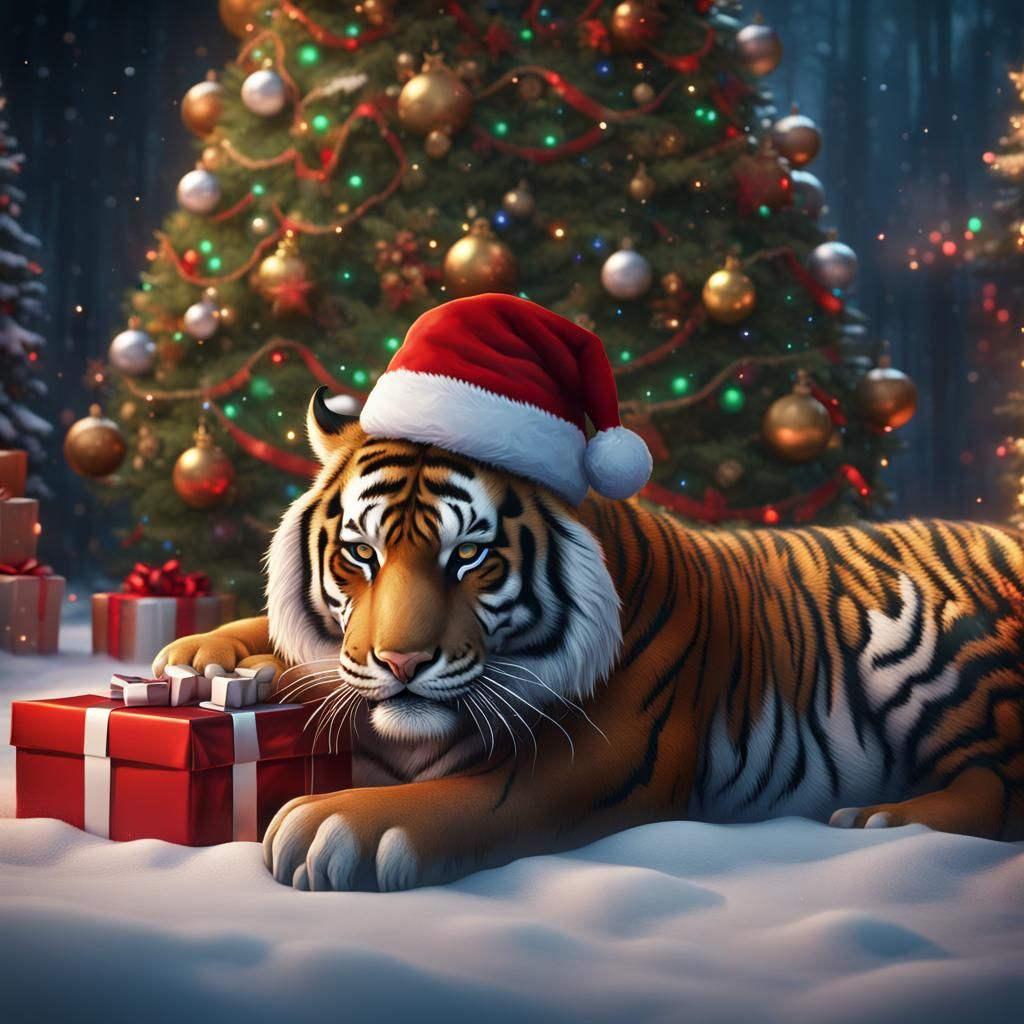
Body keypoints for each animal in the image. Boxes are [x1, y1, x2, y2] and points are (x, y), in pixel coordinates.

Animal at [154, 387, 1024, 892]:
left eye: (469, 555)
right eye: (361, 553)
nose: (399, 662)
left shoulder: (600, 761)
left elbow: (474, 794)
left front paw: (332, 824)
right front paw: (202, 653)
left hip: (930, 647)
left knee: (998, 786)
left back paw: (884, 821)